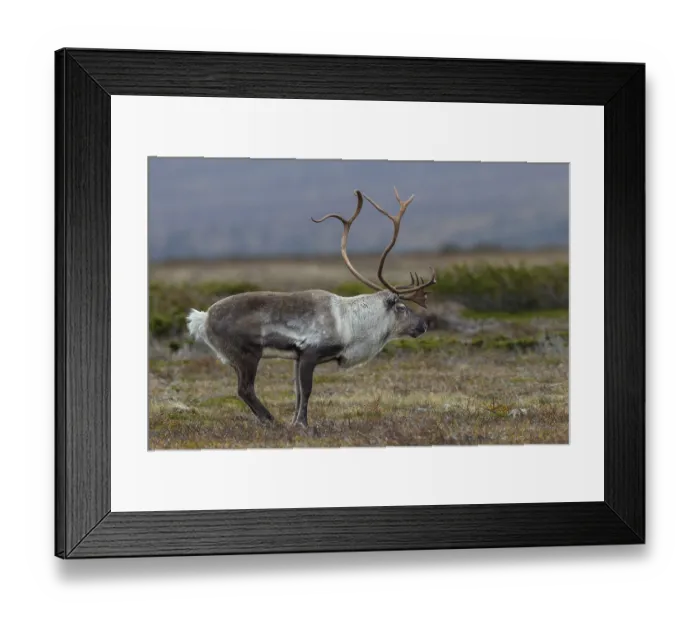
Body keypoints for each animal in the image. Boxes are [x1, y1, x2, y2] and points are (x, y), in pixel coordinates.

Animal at [186, 187, 437, 428]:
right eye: (402, 307)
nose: (423, 325)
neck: (351, 322)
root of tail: (202, 318)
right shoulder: (309, 352)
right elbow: (306, 391)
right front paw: (301, 424)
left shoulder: (297, 358)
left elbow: (297, 392)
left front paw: (295, 421)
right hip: (247, 354)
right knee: (244, 389)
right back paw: (271, 420)